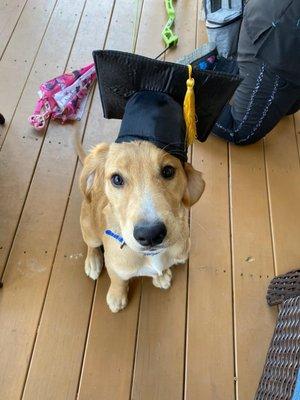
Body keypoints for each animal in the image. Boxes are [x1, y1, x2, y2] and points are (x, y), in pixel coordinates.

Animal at [78, 141, 205, 312]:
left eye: (168, 171)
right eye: (116, 179)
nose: (151, 234)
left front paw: (161, 276)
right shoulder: (115, 265)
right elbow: (118, 280)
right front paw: (116, 296)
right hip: (89, 229)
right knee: (91, 245)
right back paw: (93, 261)